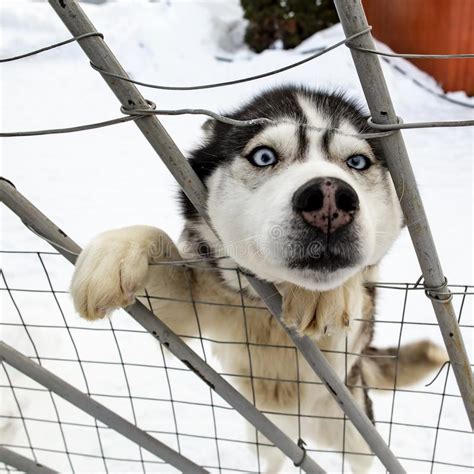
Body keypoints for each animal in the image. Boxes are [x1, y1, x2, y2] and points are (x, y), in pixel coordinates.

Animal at [70, 87, 444, 472]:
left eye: (357, 162)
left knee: (363, 461)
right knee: (279, 458)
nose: (329, 197)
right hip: (266, 436)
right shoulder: (185, 315)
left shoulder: (347, 343)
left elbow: (347, 294)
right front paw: (115, 249)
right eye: (264, 156)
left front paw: (327, 293)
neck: (268, 303)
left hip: (354, 431)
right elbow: (158, 247)